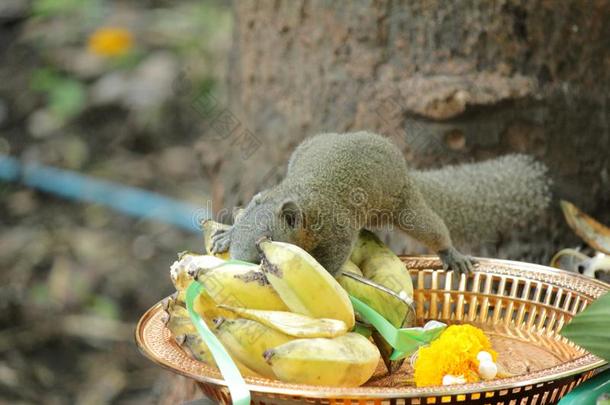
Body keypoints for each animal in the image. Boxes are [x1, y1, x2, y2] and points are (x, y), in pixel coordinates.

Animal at [210, 131, 552, 276]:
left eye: (265, 244)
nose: (239, 265)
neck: (302, 198)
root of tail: (404, 168)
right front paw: (225, 233)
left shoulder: (336, 229)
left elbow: (332, 260)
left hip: (407, 207)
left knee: (433, 229)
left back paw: (451, 253)